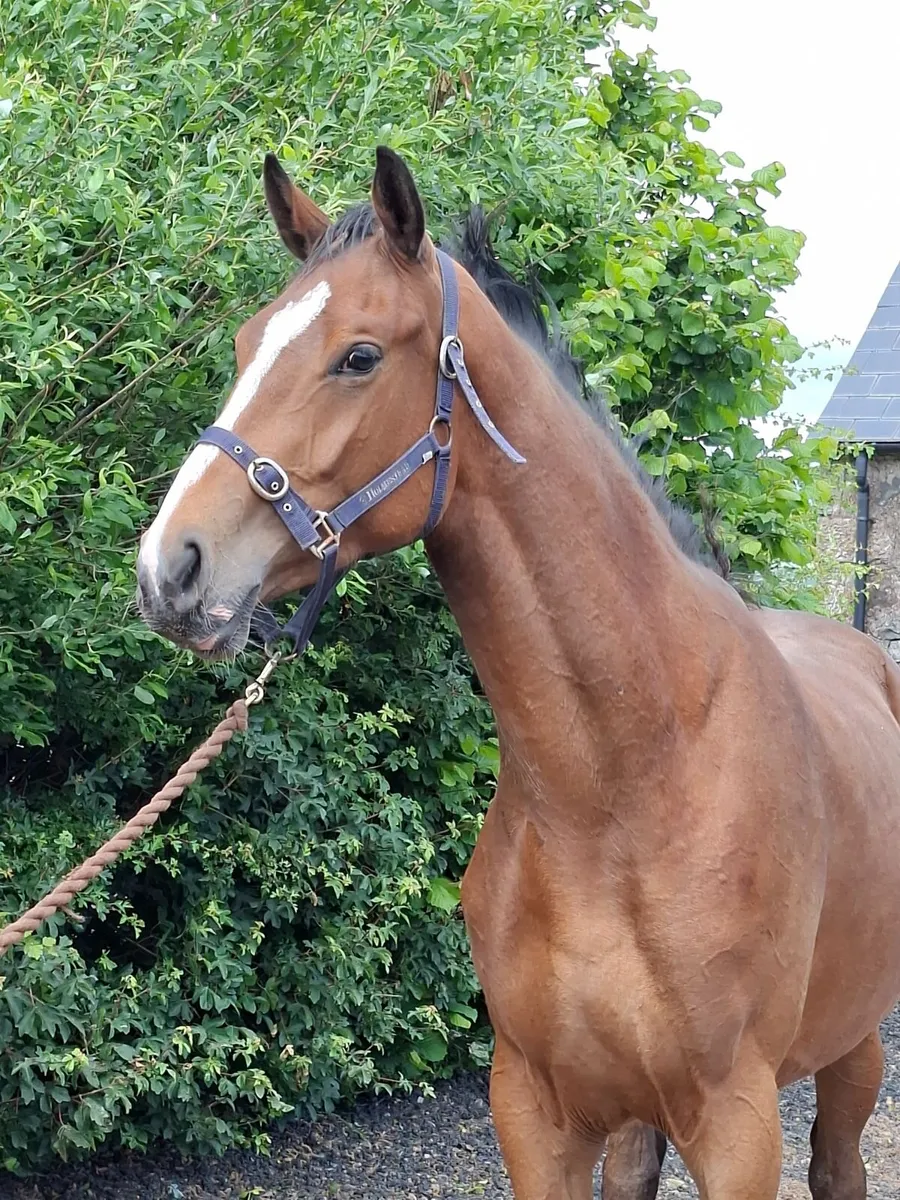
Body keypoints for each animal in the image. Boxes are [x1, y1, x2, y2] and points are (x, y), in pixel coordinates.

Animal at [136, 146, 900, 1200]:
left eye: (359, 356)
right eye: (250, 344)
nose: (170, 569)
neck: (624, 785)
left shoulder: (738, 1127)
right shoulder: (535, 1111)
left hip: (851, 1049)